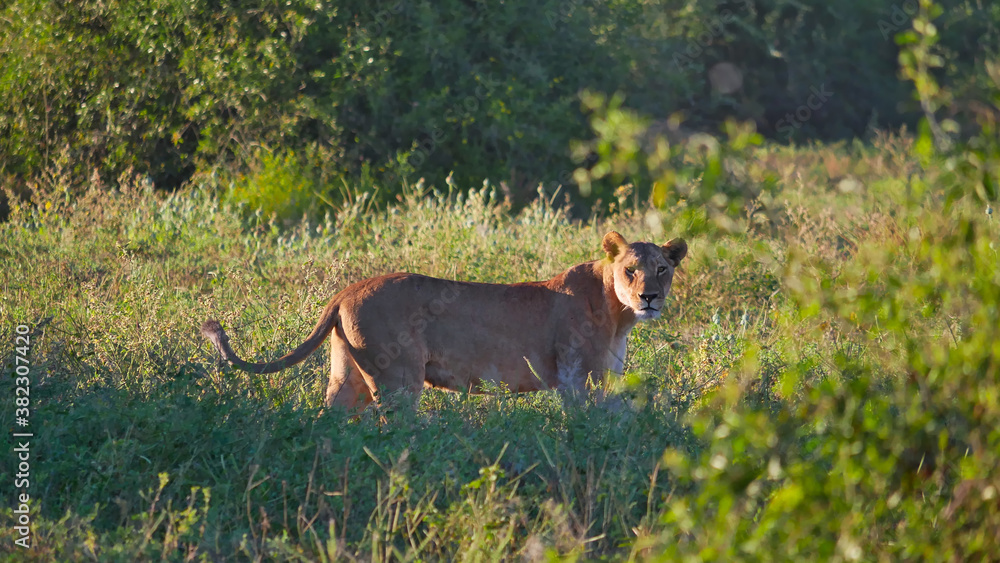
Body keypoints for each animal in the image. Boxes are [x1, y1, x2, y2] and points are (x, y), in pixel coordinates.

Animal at [201, 231, 687, 411]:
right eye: (631, 269)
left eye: (662, 268)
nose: (649, 297)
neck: (618, 314)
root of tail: (346, 290)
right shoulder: (574, 377)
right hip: (398, 379)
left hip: (345, 374)